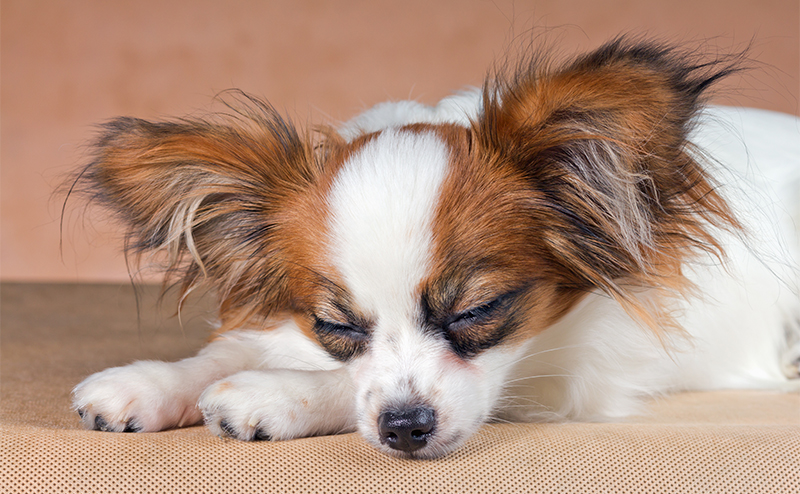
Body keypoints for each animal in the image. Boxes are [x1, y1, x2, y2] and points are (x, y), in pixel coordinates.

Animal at [69, 38, 800, 460]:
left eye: (478, 311)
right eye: (335, 325)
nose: (403, 427)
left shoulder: (563, 377)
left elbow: (342, 388)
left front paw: (272, 394)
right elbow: (230, 352)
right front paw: (152, 381)